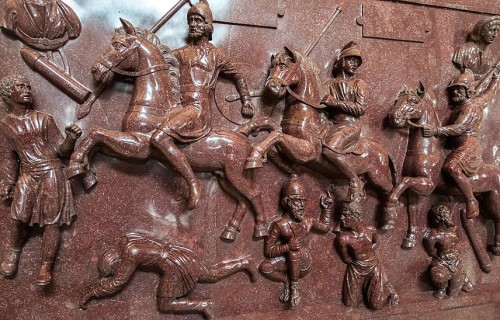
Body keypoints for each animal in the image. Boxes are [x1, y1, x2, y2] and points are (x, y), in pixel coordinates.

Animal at [69, 18, 270, 240]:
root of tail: (242, 135)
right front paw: (84, 173)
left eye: (118, 45)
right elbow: (94, 137)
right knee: (243, 200)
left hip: (235, 174)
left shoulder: (140, 145)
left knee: (254, 194)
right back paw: (230, 231)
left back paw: (260, 229)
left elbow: (96, 133)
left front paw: (76, 167)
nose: (96, 70)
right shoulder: (127, 145)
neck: (154, 103)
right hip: (224, 177)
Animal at [238, 47, 394, 228]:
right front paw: (248, 130)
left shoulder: (307, 151)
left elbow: (276, 135)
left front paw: (254, 158)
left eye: (283, 66)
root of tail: (384, 151)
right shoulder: (290, 143)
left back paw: (387, 221)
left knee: (391, 190)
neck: (308, 116)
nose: (272, 87)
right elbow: (270, 125)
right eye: (272, 67)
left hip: (378, 177)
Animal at [388, 82, 500, 262]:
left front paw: (389, 214)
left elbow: (404, 181)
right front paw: (409, 238)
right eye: (397, 100)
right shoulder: (414, 191)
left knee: (497, 219)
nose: (393, 117)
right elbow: (411, 210)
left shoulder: (427, 185)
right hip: (486, 199)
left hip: (494, 198)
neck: (426, 151)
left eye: (413, 101)